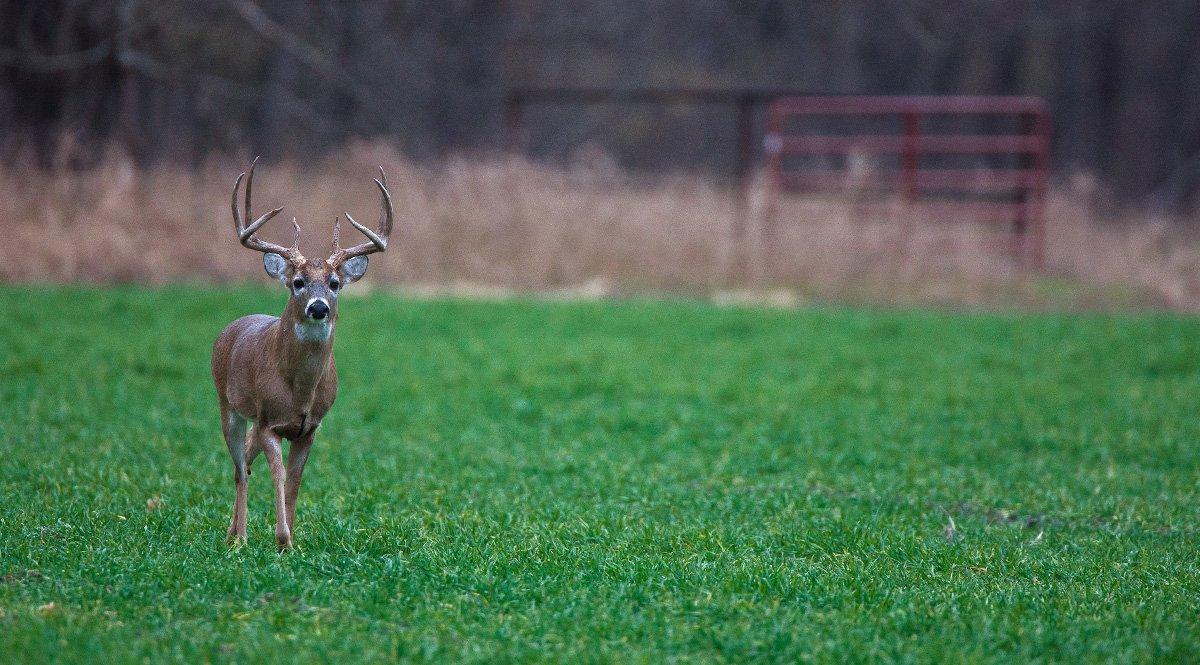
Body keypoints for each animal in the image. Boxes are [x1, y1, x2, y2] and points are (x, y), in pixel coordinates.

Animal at [213, 156, 396, 549]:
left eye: (335, 283)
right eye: (297, 282)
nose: (318, 307)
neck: (299, 391)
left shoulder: (309, 428)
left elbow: (296, 482)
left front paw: (291, 541)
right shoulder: (269, 421)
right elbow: (279, 476)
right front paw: (282, 539)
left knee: (245, 459)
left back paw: (233, 531)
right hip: (228, 405)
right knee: (239, 468)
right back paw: (239, 538)